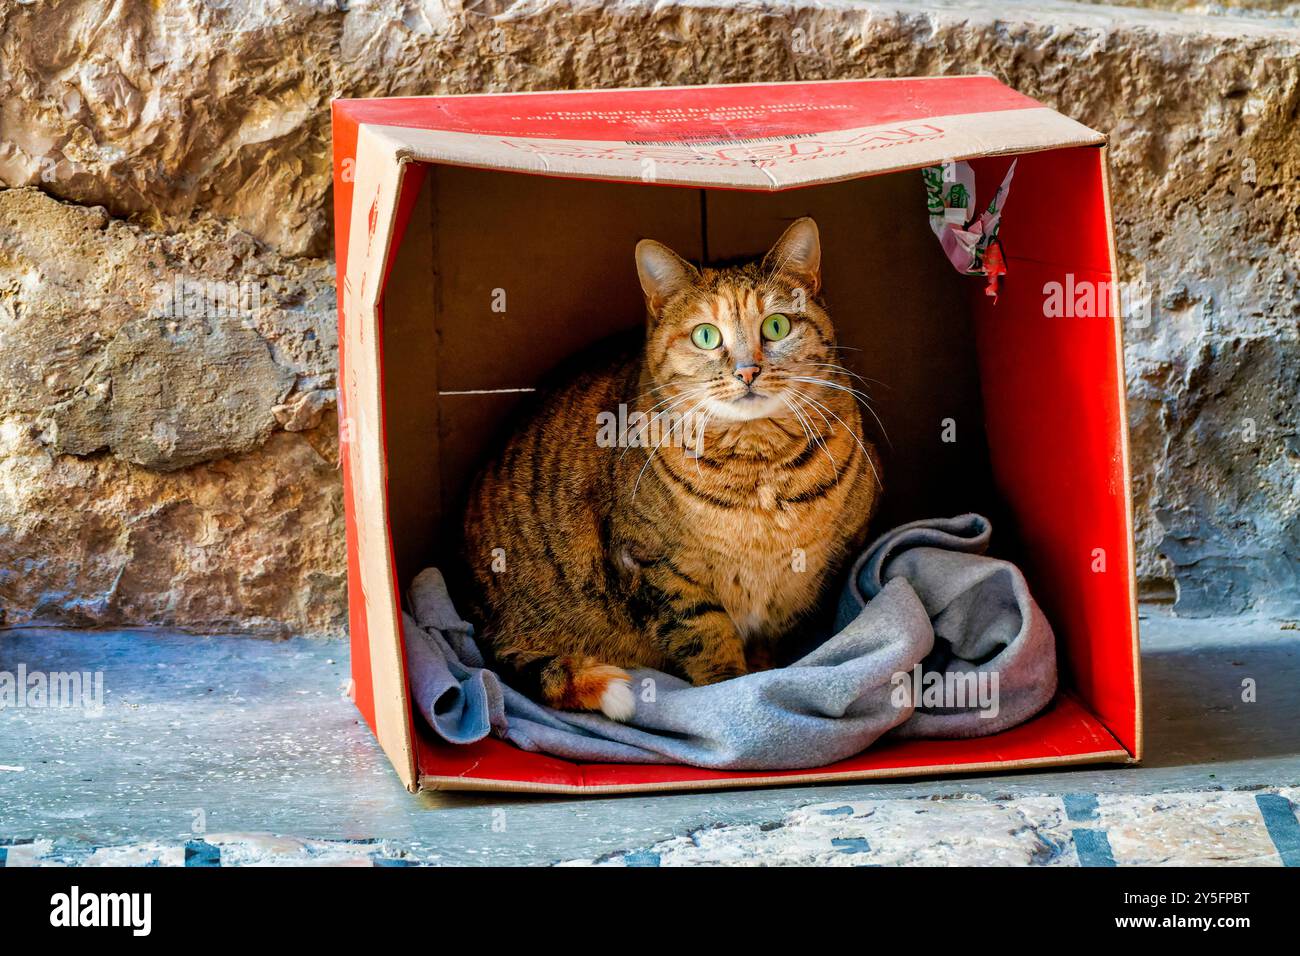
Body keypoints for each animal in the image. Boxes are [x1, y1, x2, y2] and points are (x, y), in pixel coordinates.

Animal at [460, 218, 883, 717]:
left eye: (776, 326)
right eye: (706, 335)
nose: (747, 371)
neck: (757, 462)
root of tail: (479, 617)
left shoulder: (814, 574)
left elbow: (775, 636)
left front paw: (764, 674)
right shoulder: (654, 566)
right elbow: (704, 636)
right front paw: (731, 688)